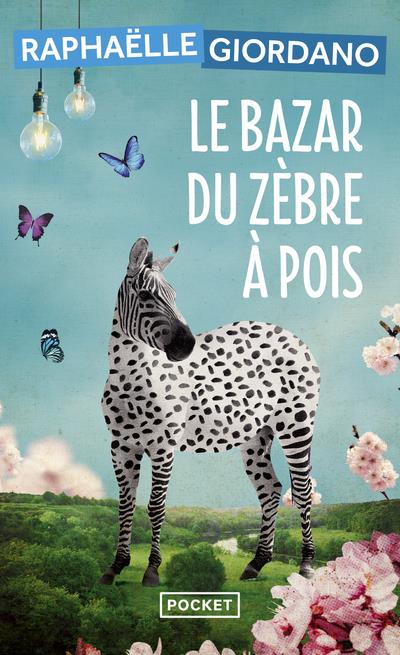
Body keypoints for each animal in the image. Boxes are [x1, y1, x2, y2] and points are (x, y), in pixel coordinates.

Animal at [100, 237, 320, 586]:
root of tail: (290, 336)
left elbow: (156, 506)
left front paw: (151, 570)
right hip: (256, 436)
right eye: (146, 296)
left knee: (302, 489)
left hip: (297, 428)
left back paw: (307, 563)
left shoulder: (163, 447)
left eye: (175, 295)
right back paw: (257, 563)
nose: (186, 345)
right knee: (270, 490)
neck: (130, 376)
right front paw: (117, 565)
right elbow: (125, 505)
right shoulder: (121, 446)